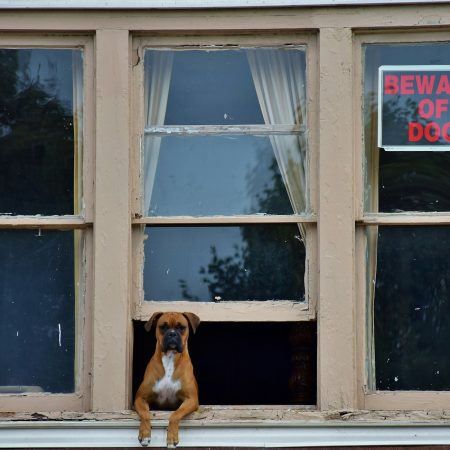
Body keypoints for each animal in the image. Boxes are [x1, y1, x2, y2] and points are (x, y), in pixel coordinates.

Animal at [134, 312, 200, 448]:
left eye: (181, 327)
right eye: (163, 327)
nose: (172, 334)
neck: (170, 358)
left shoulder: (191, 400)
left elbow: (175, 414)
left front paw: (172, 437)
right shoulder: (140, 398)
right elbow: (145, 413)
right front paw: (145, 434)